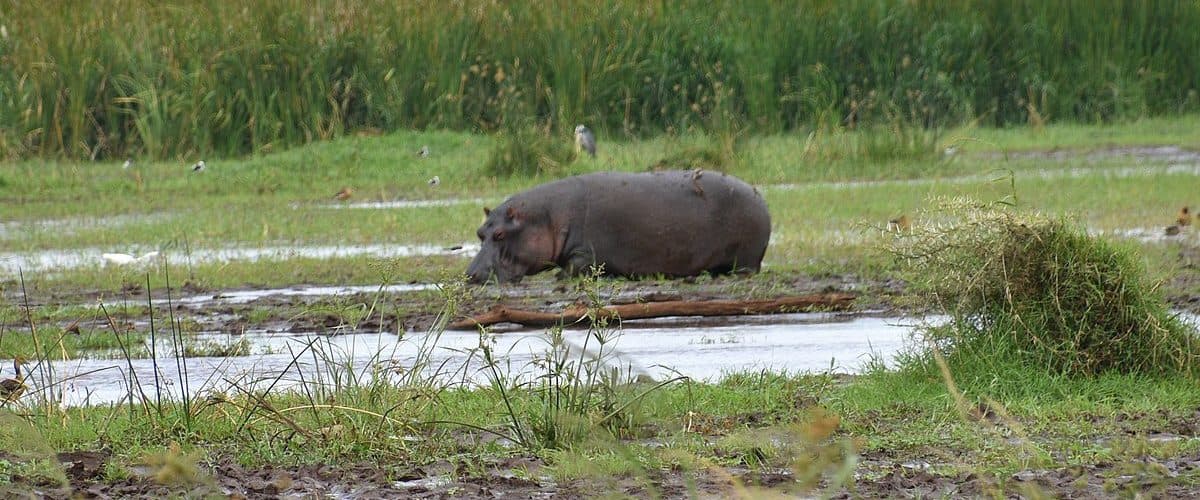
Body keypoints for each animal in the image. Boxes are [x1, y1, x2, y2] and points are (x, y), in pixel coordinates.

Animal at [466, 170, 771, 284]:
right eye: (480, 232)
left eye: (500, 233)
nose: (471, 274)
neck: (548, 216)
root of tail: (759, 196)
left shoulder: (587, 252)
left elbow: (571, 267)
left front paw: (559, 277)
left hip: (746, 258)